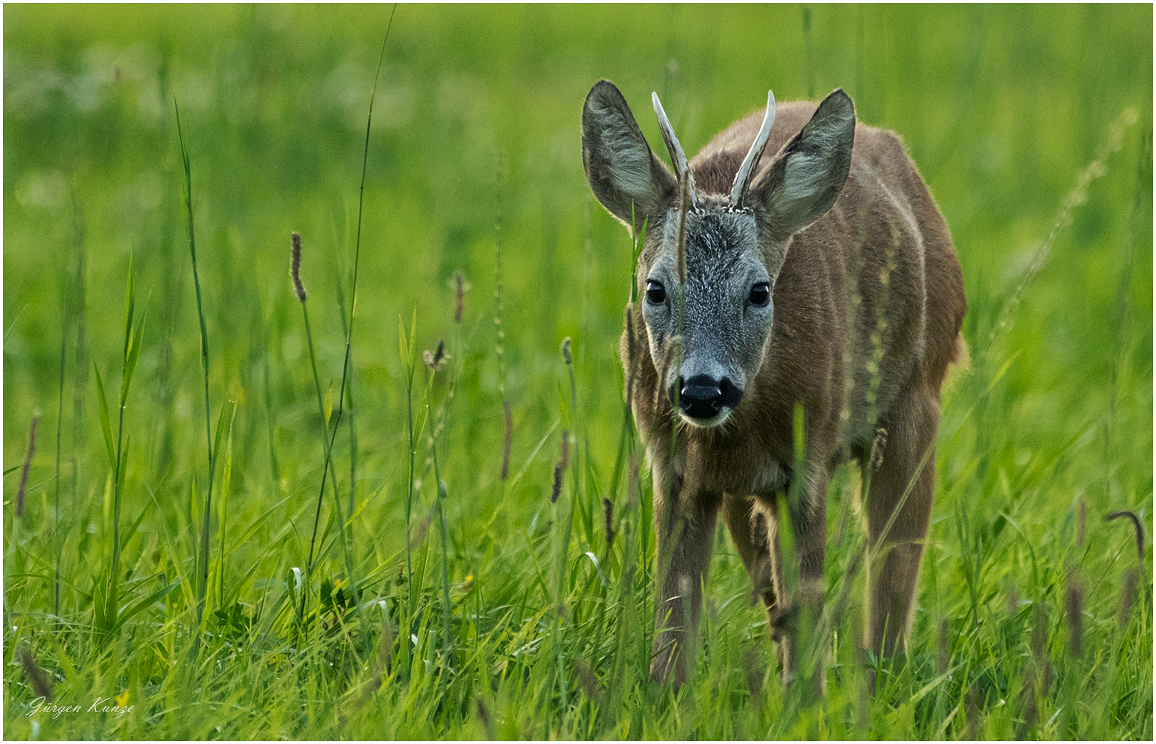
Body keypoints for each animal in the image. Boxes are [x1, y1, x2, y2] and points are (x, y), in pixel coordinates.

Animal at [578, 78, 966, 688]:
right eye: (655, 288)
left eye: (760, 290)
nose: (702, 389)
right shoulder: (675, 467)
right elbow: (673, 621)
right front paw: (664, 694)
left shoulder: (805, 466)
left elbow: (808, 611)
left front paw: (807, 700)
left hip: (916, 400)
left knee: (893, 564)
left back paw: (881, 676)